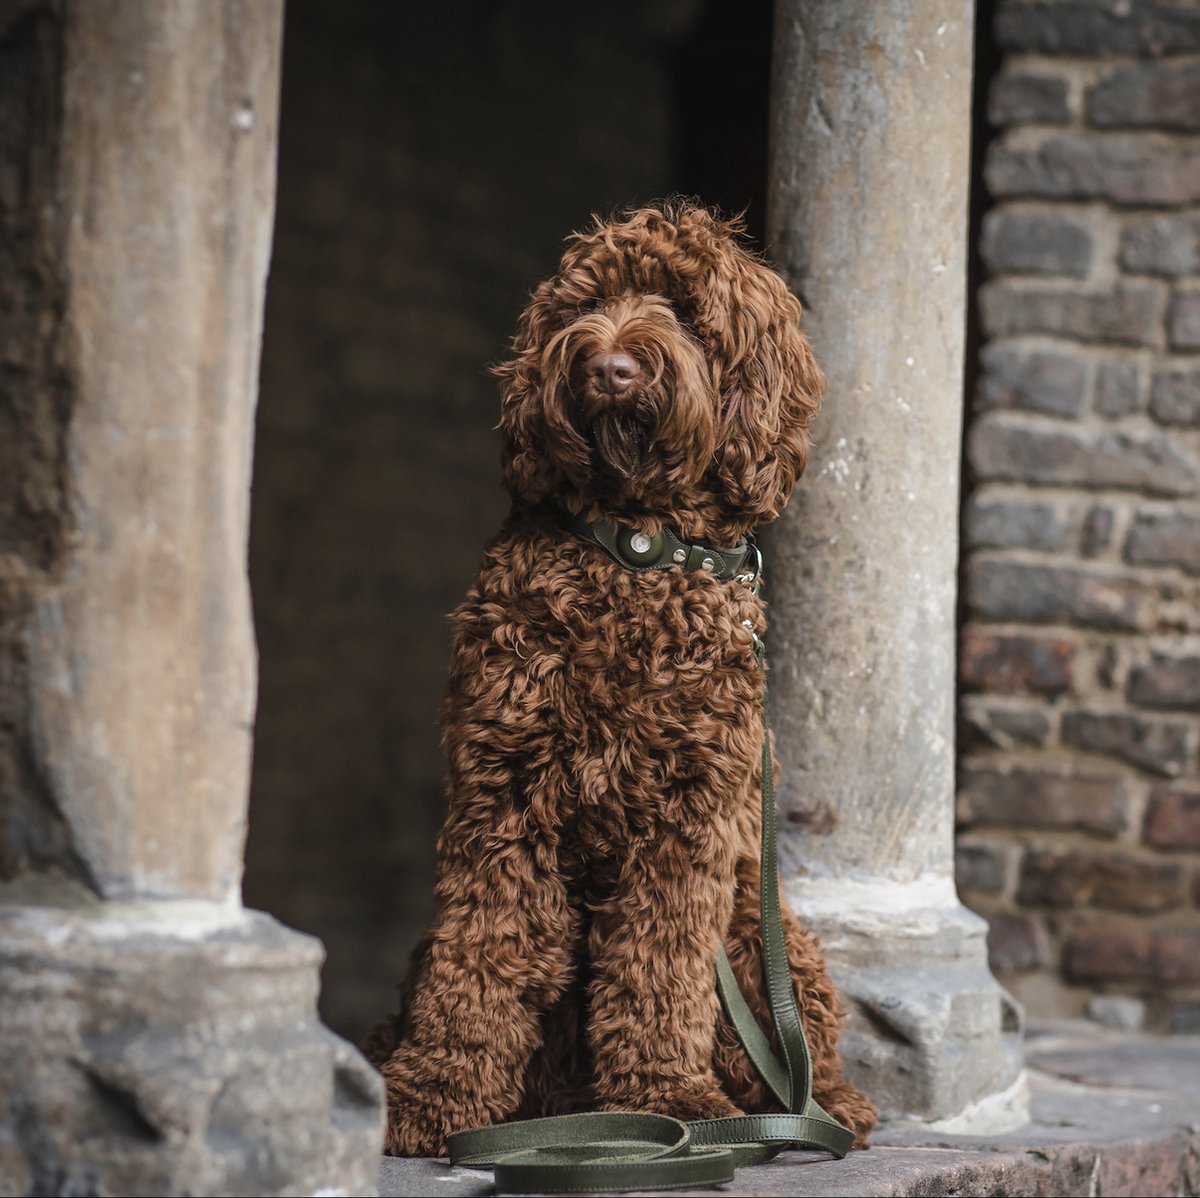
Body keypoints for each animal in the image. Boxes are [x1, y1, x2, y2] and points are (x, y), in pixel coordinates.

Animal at [360, 201, 878, 1157]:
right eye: (585, 304)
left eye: (687, 310)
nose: (608, 365)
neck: (634, 546)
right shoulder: (504, 799)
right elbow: (478, 959)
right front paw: (432, 1094)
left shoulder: (689, 822)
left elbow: (659, 970)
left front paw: (671, 1099)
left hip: (763, 929)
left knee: (798, 1046)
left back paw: (820, 1108)